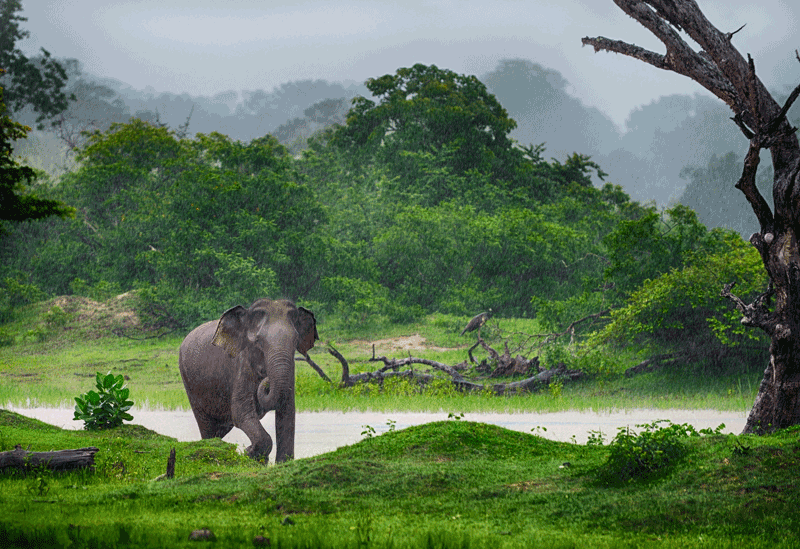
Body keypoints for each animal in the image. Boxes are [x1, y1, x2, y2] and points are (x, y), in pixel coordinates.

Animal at [178, 298, 318, 460]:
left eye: (296, 340)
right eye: (258, 341)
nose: (266, 380)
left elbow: (287, 412)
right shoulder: (241, 365)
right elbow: (240, 412)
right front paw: (249, 452)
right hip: (189, 382)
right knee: (207, 427)